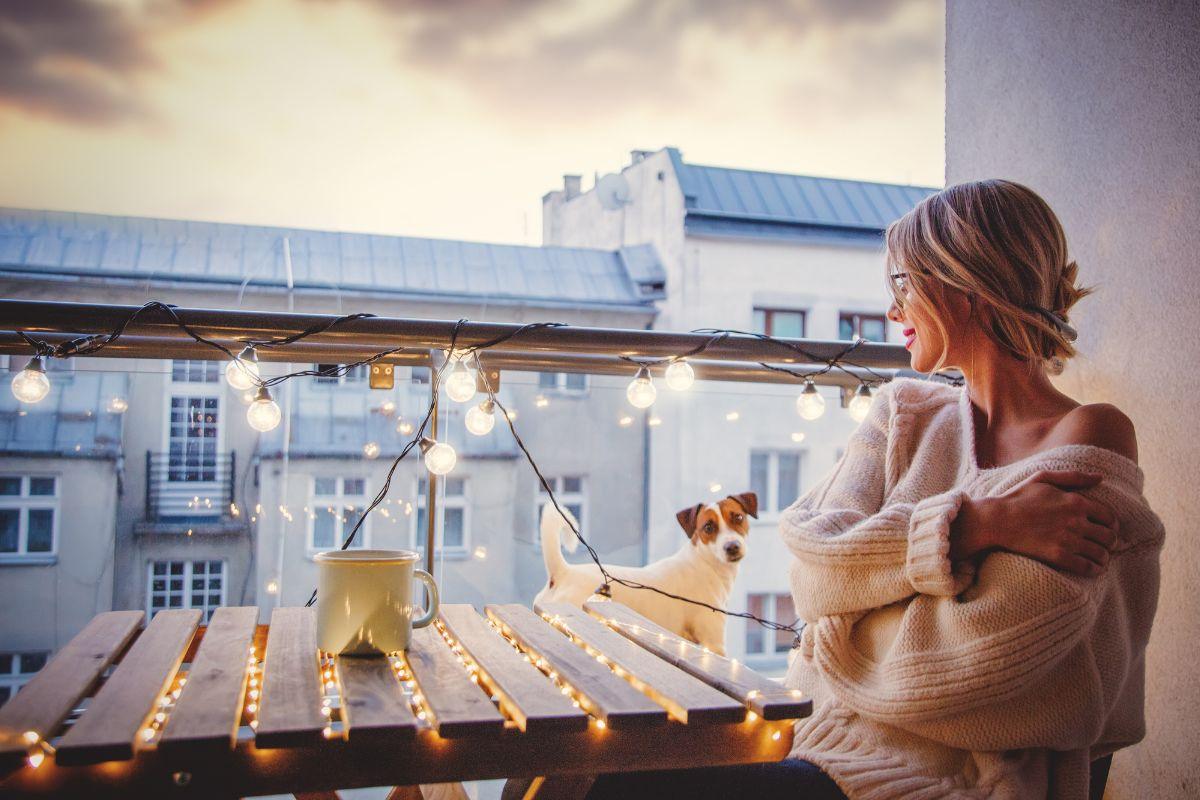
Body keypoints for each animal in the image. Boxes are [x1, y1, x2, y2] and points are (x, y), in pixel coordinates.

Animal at [530, 494, 753, 657]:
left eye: (738, 517)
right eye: (708, 527)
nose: (732, 547)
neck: (705, 562)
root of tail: (562, 571)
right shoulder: (713, 642)